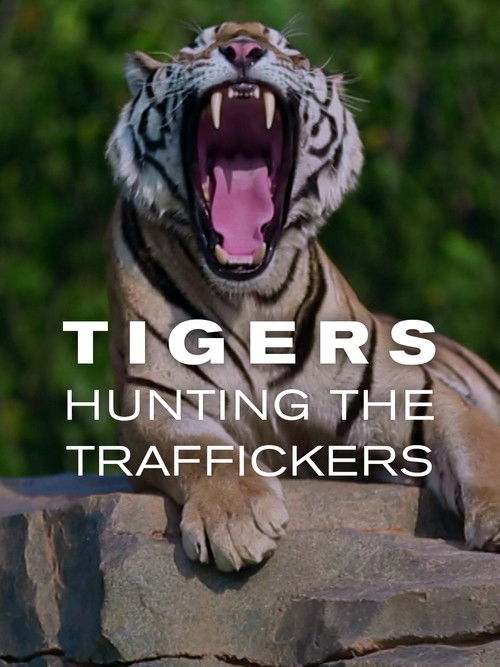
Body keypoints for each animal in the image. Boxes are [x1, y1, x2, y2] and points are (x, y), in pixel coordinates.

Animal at [106, 21, 500, 571]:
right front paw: (237, 519)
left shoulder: (415, 393)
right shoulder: (155, 400)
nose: (243, 47)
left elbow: (478, 447)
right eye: (198, 46)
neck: (248, 302)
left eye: (285, 48)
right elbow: (203, 449)